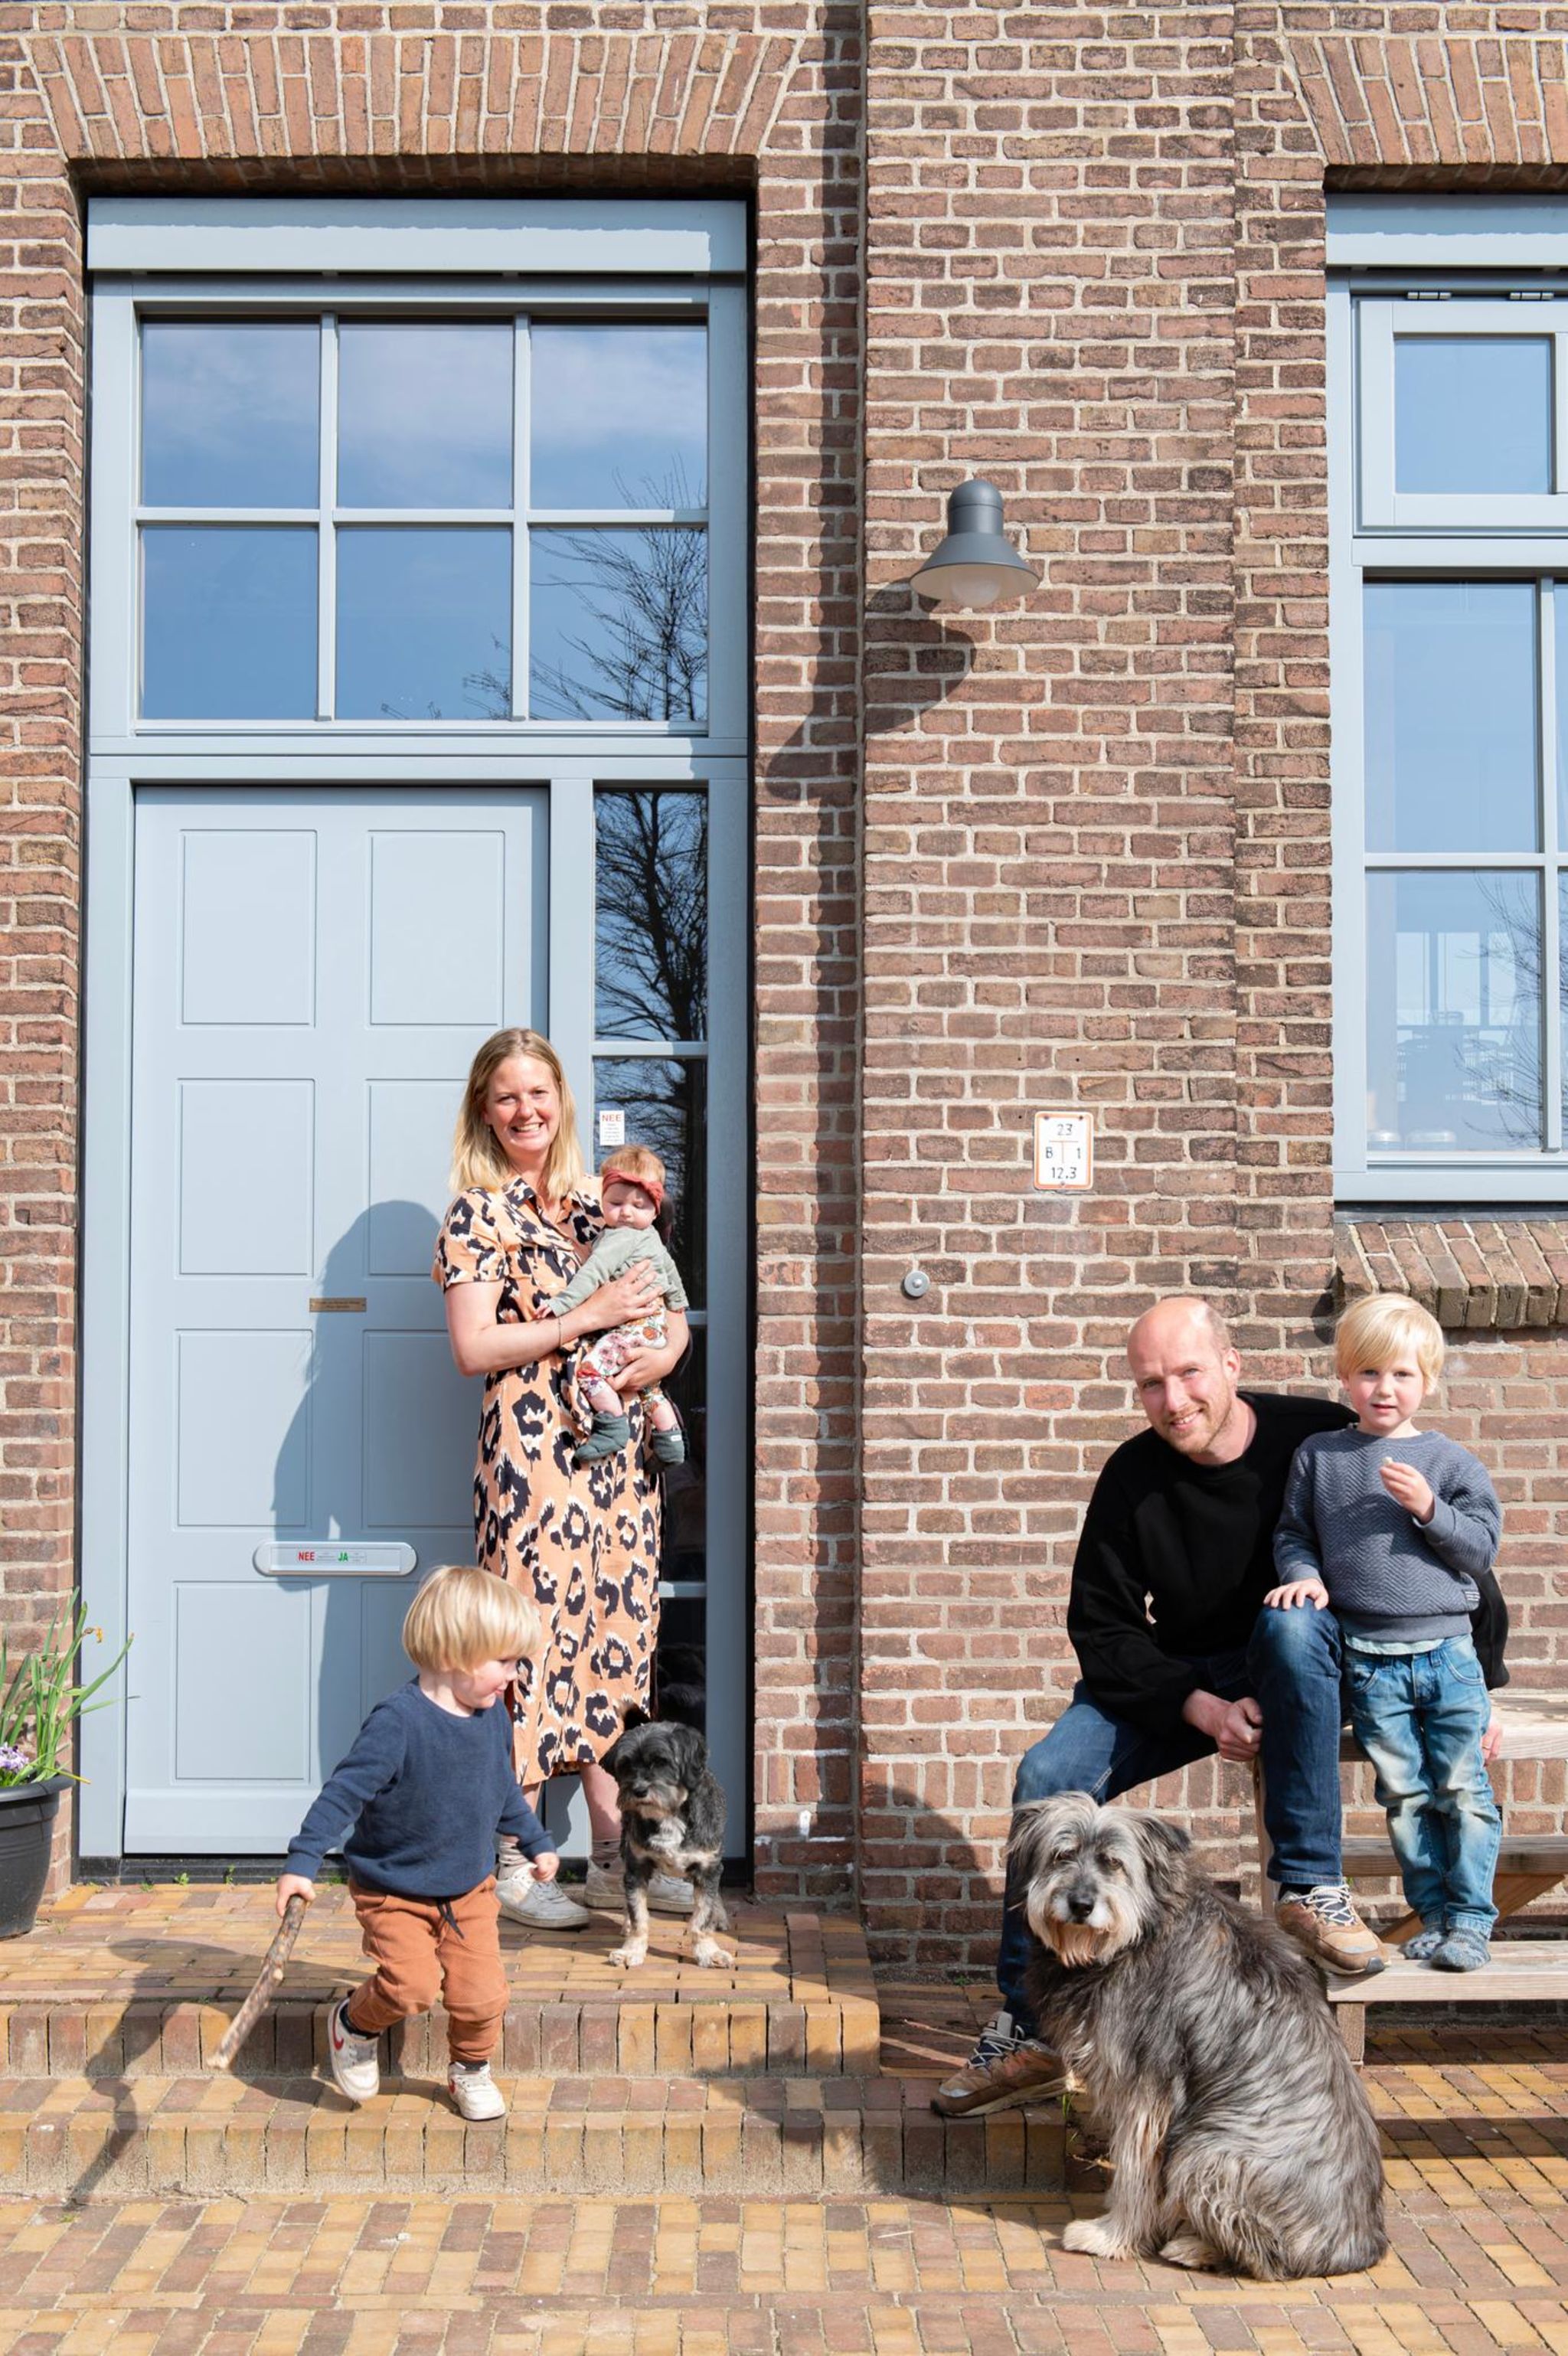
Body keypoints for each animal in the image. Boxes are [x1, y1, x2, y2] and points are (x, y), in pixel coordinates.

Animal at [600, 1709, 733, 1969]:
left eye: (662, 1762)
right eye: (626, 1765)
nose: (639, 1790)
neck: (669, 1815)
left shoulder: (708, 1866)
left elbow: (702, 1917)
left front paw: (708, 1952)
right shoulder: (637, 1866)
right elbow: (638, 1914)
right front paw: (632, 1950)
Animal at [1013, 1793, 1386, 2281]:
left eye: (1114, 1863)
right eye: (1063, 1854)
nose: (1080, 1904)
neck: (1140, 1932)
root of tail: (1357, 2246)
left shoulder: (1148, 2087)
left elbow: (1135, 2169)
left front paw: (1113, 2236)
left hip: (1204, 2150)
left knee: (1266, 2256)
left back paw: (1194, 2245)